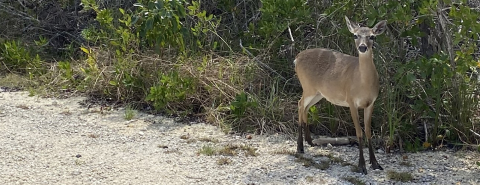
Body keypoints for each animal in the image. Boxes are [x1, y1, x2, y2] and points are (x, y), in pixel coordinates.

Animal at [292, 16, 390, 174]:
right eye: (355, 35)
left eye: (372, 36)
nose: (363, 47)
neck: (363, 84)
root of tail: (296, 58)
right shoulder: (351, 101)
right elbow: (359, 132)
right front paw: (361, 166)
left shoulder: (371, 103)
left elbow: (368, 132)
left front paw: (375, 163)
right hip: (307, 86)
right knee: (300, 103)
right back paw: (300, 147)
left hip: (319, 93)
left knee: (305, 107)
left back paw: (310, 141)